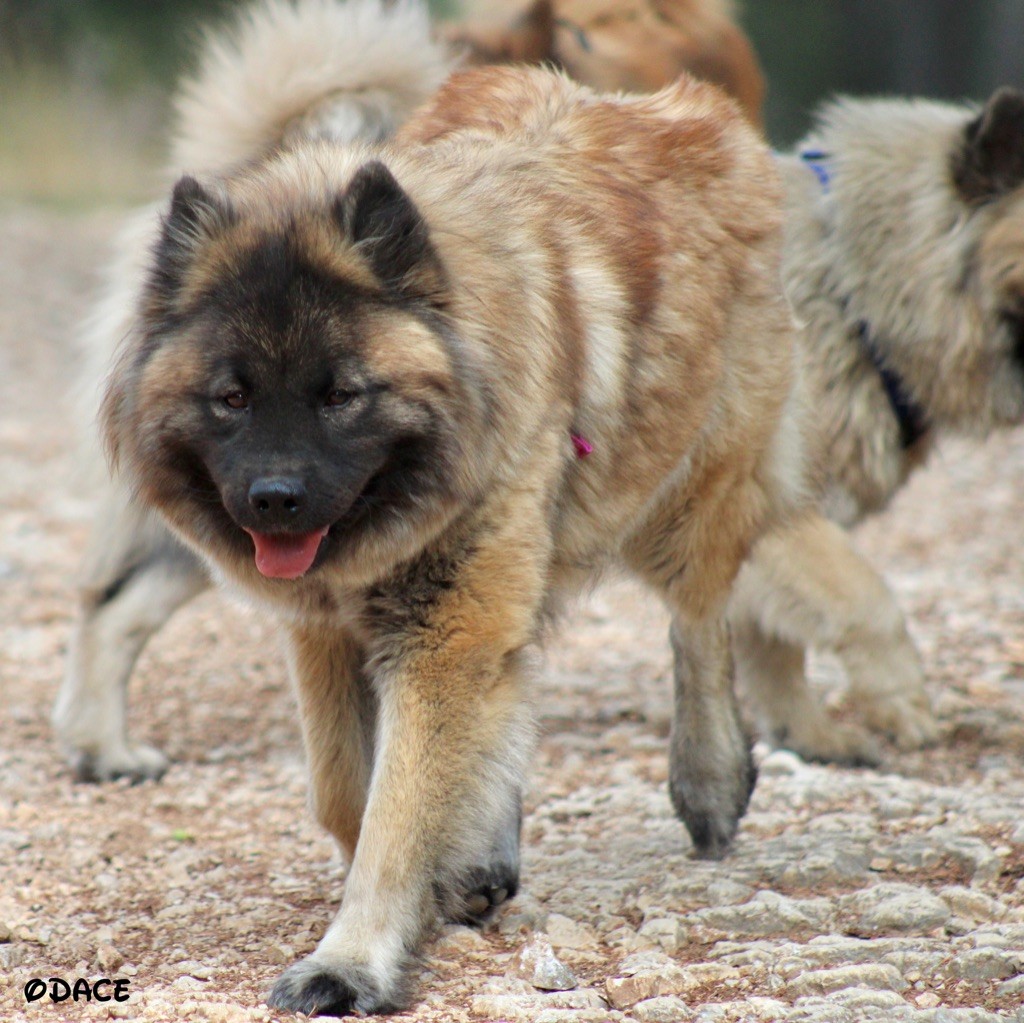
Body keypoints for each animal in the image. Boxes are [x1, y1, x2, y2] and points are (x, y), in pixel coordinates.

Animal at [103, 59, 802, 1011]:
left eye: (340, 394)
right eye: (232, 397)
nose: (274, 499)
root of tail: (674, 102)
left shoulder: (446, 628)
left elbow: (396, 811)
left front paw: (350, 961)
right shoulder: (331, 632)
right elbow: (348, 792)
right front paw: (436, 884)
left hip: (689, 494)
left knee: (696, 622)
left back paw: (710, 778)